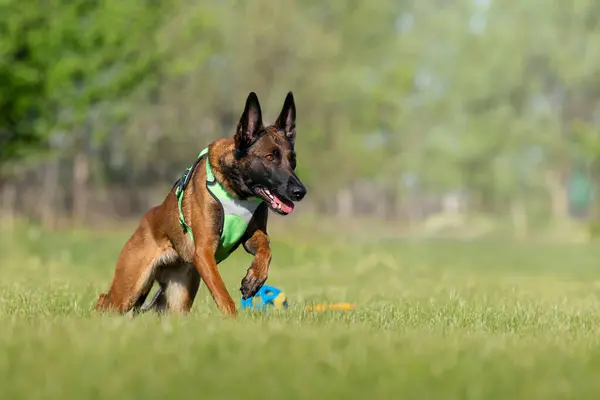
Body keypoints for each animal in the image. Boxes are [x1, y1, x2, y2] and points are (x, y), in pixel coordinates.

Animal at [97, 92, 310, 318]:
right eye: (270, 157)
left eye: (292, 160)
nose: (300, 191)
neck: (236, 191)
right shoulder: (205, 251)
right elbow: (221, 292)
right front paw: (234, 319)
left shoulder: (252, 235)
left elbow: (266, 247)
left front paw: (254, 279)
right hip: (130, 289)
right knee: (104, 299)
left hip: (178, 297)